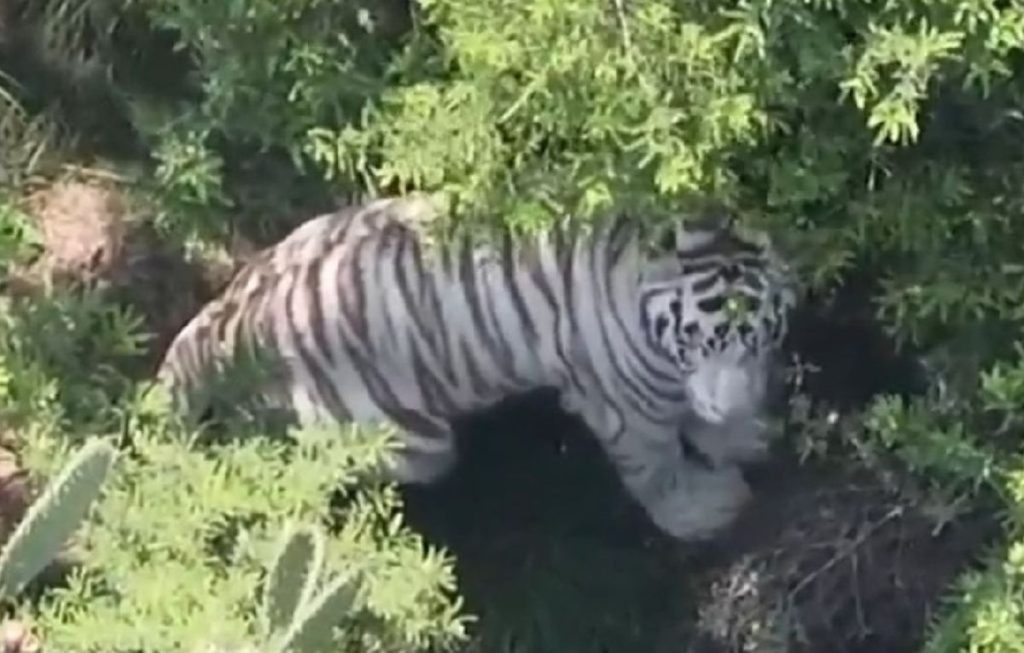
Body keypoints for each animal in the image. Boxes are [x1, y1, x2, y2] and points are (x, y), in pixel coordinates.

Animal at [156, 194, 799, 541]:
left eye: (760, 334)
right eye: (695, 339)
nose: (731, 402)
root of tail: (229, 315)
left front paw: (741, 434)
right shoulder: (626, 404)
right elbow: (657, 467)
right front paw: (705, 509)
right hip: (408, 442)